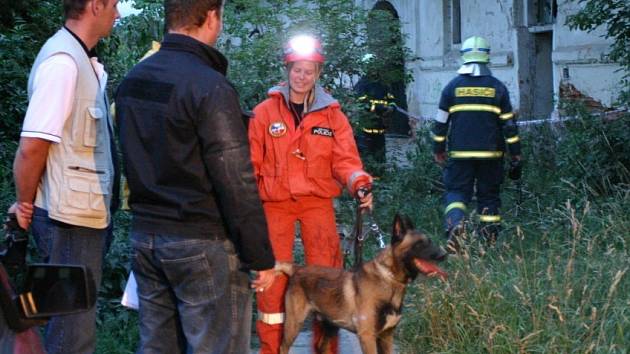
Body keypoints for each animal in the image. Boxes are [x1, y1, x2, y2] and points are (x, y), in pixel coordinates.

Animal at [276, 213, 450, 354]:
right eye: (420, 244)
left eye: (430, 241)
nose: (445, 254)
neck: (389, 279)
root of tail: (298, 268)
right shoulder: (368, 337)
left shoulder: (387, 337)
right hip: (294, 324)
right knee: (283, 347)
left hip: (331, 326)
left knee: (321, 347)